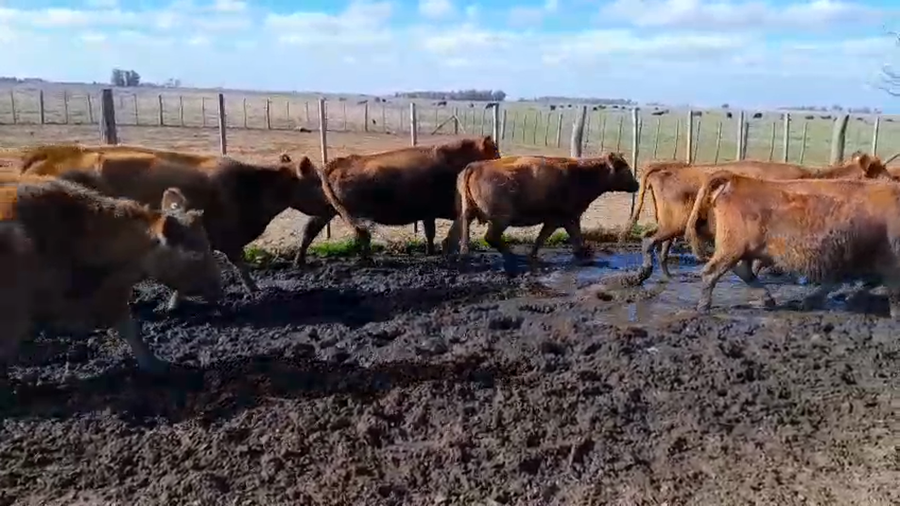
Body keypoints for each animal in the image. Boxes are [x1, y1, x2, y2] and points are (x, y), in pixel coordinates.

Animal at [316, 136, 501, 262]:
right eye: (495, 153)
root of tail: (339, 162)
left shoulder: (430, 213)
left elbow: (432, 234)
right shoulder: (431, 212)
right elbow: (433, 233)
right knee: (363, 237)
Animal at [443, 153, 639, 273]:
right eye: (626, 169)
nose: (637, 184)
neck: (582, 174)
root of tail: (475, 166)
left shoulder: (555, 219)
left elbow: (541, 238)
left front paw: (534, 256)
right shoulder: (566, 217)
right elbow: (574, 237)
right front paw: (584, 255)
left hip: (465, 212)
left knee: (457, 233)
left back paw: (458, 256)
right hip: (501, 219)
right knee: (490, 237)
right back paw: (512, 256)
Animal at [618, 154, 893, 286]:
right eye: (880, 171)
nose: (894, 185)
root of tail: (668, 168)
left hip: (673, 226)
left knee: (661, 247)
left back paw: (667, 276)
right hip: (671, 224)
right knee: (649, 240)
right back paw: (643, 274)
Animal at [684, 172, 900, 316]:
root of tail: (736, 179)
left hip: (742, 249)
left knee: (742, 270)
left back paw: (767, 299)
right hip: (733, 247)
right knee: (712, 272)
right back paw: (703, 307)